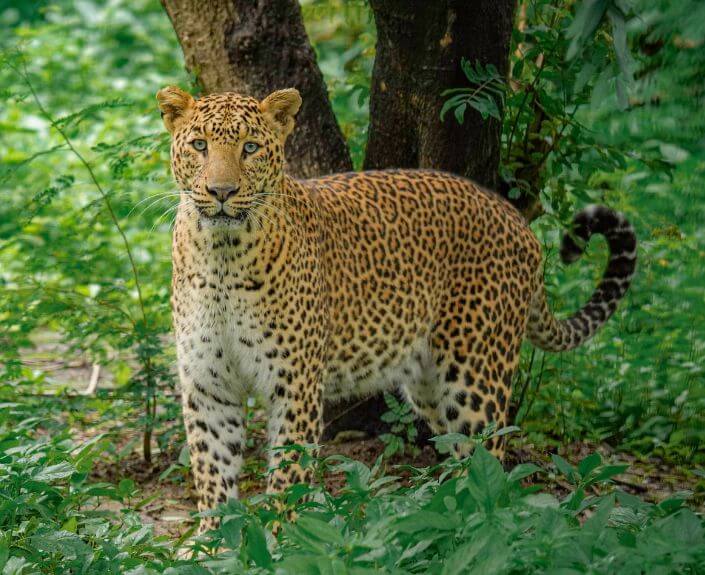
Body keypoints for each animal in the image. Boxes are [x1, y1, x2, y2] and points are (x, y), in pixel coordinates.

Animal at [156, 85, 637, 531]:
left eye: (250, 148)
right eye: (199, 145)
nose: (221, 191)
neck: (222, 256)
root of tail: (517, 220)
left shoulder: (293, 384)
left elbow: (289, 473)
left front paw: (279, 538)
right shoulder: (208, 383)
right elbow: (212, 468)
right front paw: (214, 541)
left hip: (474, 376)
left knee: (490, 456)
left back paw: (479, 531)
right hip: (429, 384)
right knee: (463, 457)